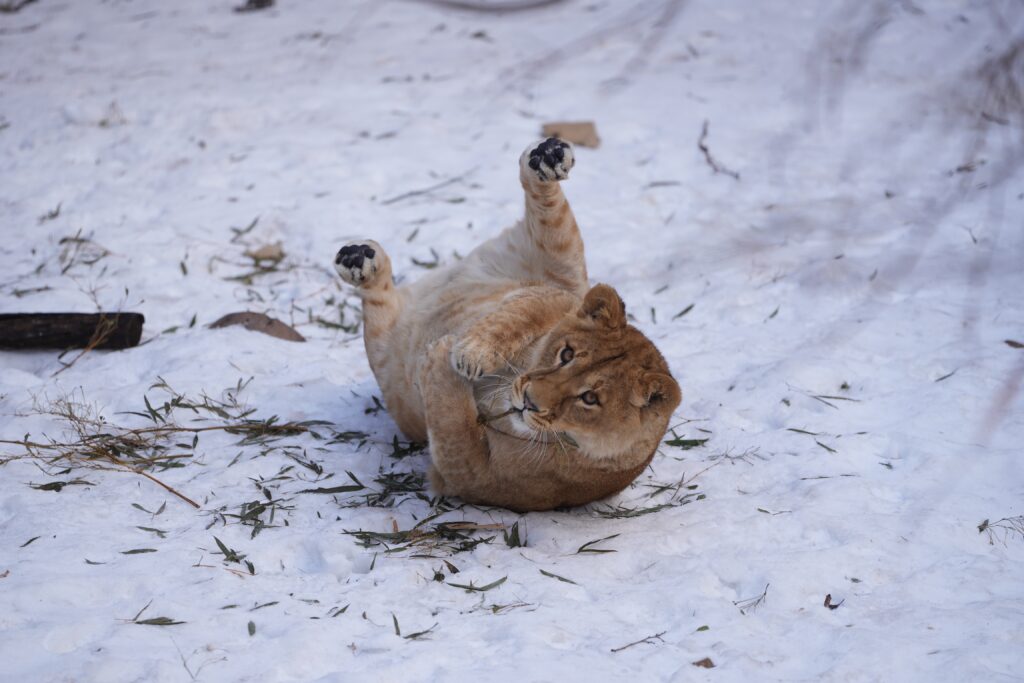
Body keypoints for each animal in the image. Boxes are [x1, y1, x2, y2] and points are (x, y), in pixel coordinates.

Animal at [335, 140, 679, 511]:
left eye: (590, 399)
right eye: (566, 354)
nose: (528, 400)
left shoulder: (472, 477)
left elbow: (452, 421)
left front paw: (441, 355)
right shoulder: (555, 297)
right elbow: (518, 315)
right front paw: (472, 353)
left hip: (390, 376)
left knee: (379, 306)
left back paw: (364, 266)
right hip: (565, 264)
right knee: (547, 207)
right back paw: (548, 157)